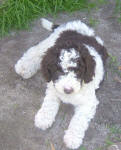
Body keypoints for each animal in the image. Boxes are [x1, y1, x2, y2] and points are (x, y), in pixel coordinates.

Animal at [14, 18, 108, 149]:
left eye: (78, 71)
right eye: (58, 70)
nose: (68, 90)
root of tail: (73, 23)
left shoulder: (89, 101)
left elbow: (79, 119)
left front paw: (72, 138)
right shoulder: (53, 88)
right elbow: (49, 104)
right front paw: (43, 118)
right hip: (49, 42)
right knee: (36, 50)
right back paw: (24, 67)